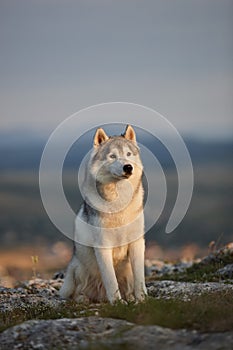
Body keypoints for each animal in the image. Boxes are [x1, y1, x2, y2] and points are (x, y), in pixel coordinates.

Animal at [60, 125, 147, 304]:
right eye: (112, 156)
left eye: (128, 154)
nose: (128, 167)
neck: (119, 203)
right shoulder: (103, 246)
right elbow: (111, 280)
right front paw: (118, 303)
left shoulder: (137, 243)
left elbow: (139, 278)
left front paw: (141, 300)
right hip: (78, 268)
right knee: (77, 291)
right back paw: (84, 298)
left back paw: (129, 297)